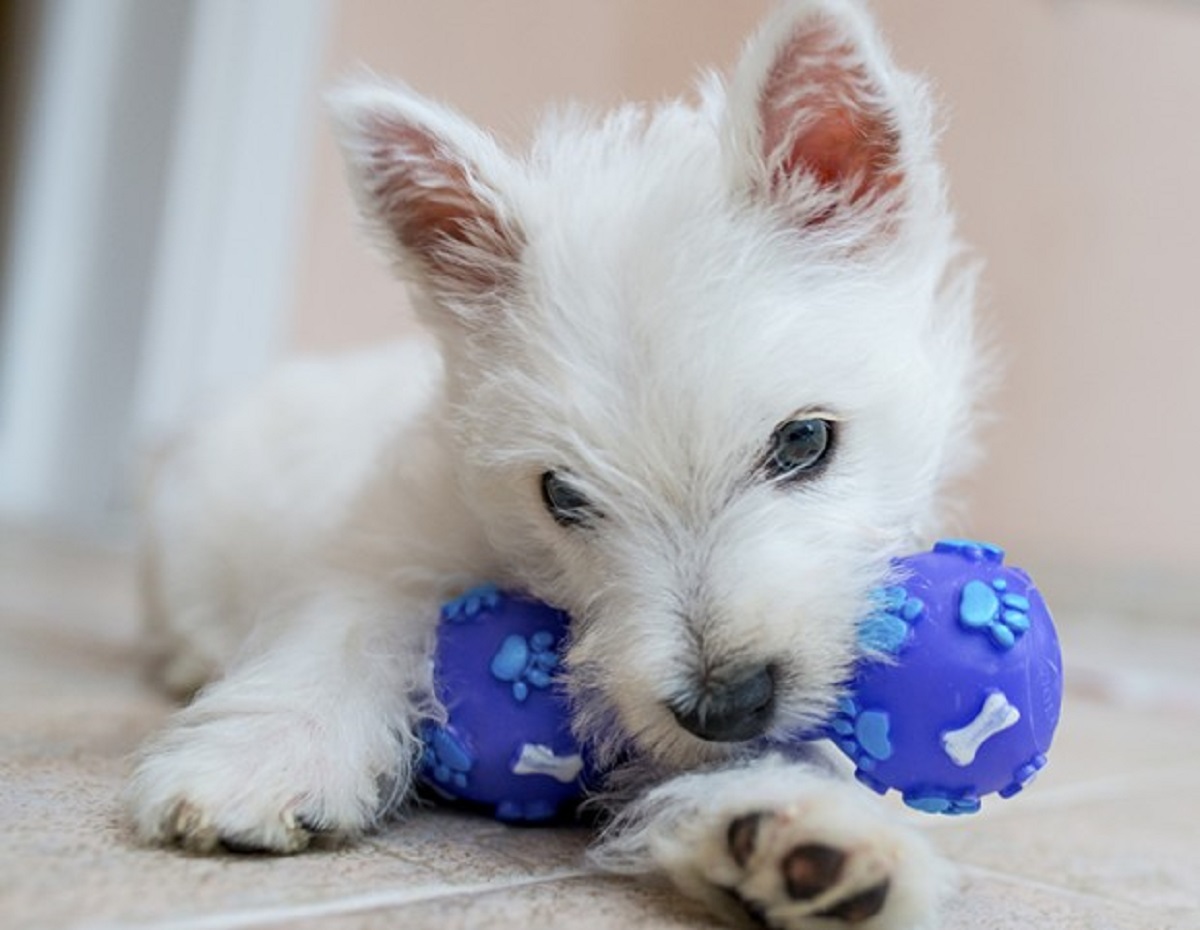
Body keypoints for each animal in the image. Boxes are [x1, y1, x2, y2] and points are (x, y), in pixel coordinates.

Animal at [129, 3, 984, 926]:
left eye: (803, 442)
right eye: (561, 494)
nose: (724, 706)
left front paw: (802, 833)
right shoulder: (381, 545)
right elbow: (344, 631)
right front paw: (262, 759)